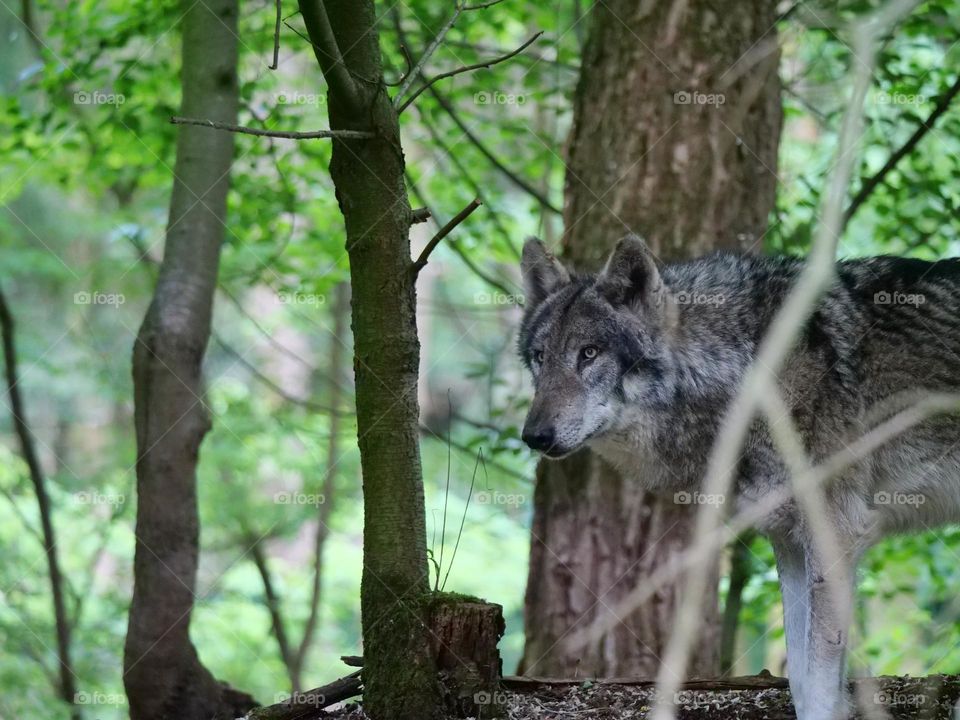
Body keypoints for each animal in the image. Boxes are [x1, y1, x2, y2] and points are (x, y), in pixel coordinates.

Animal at [520, 236, 960, 720]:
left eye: (589, 353)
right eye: (540, 357)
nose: (533, 436)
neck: (746, 370)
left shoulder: (835, 535)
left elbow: (820, 689)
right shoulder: (790, 541)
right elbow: (801, 681)